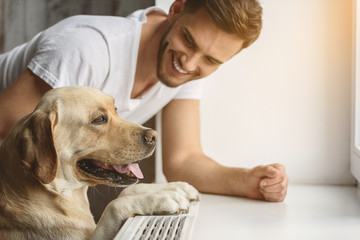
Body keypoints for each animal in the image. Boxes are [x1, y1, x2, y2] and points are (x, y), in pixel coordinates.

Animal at [0, 86, 197, 240]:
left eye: (115, 110)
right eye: (99, 119)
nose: (154, 136)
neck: (62, 193)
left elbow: (128, 190)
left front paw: (175, 187)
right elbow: (113, 205)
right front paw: (160, 199)